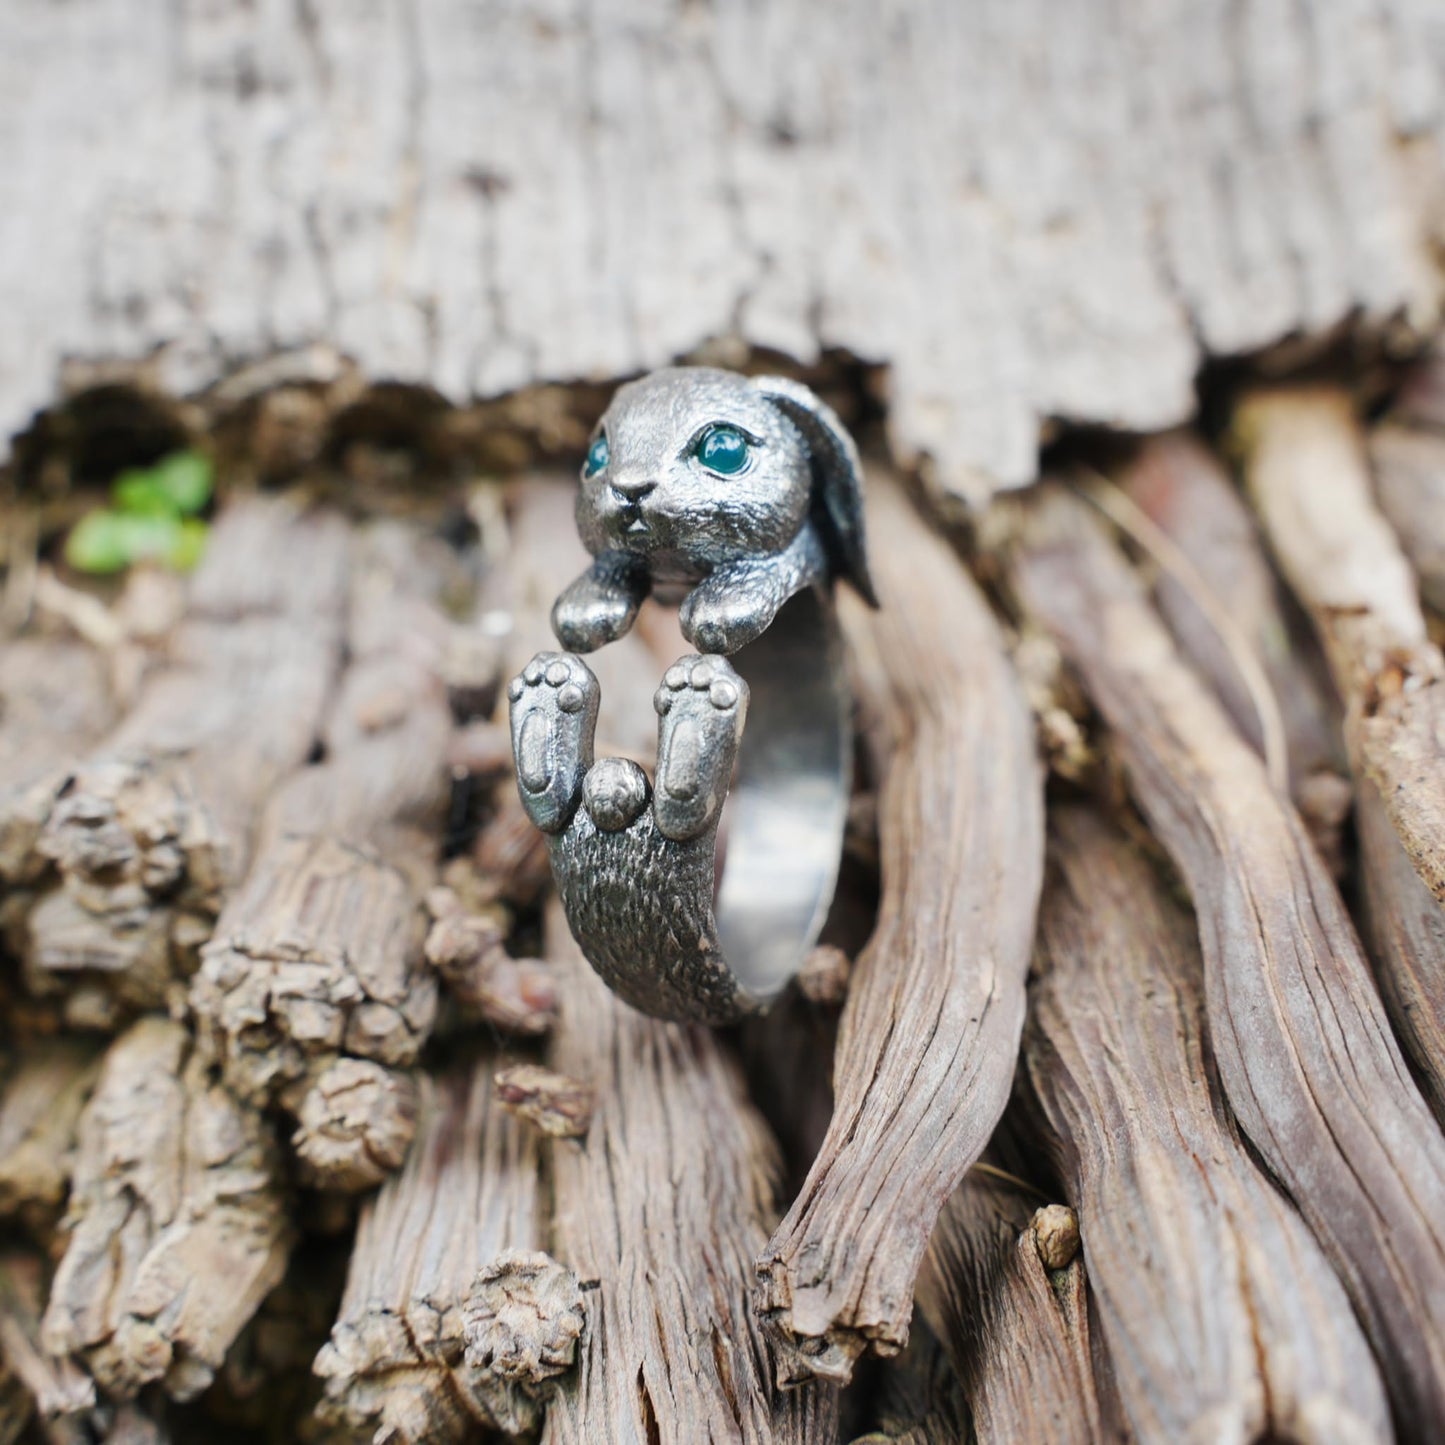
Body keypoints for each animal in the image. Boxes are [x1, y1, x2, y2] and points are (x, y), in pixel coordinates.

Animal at [551, 367, 878, 655]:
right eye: (597, 456)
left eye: (724, 451)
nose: (630, 488)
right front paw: (587, 604)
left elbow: (798, 550)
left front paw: (722, 605)